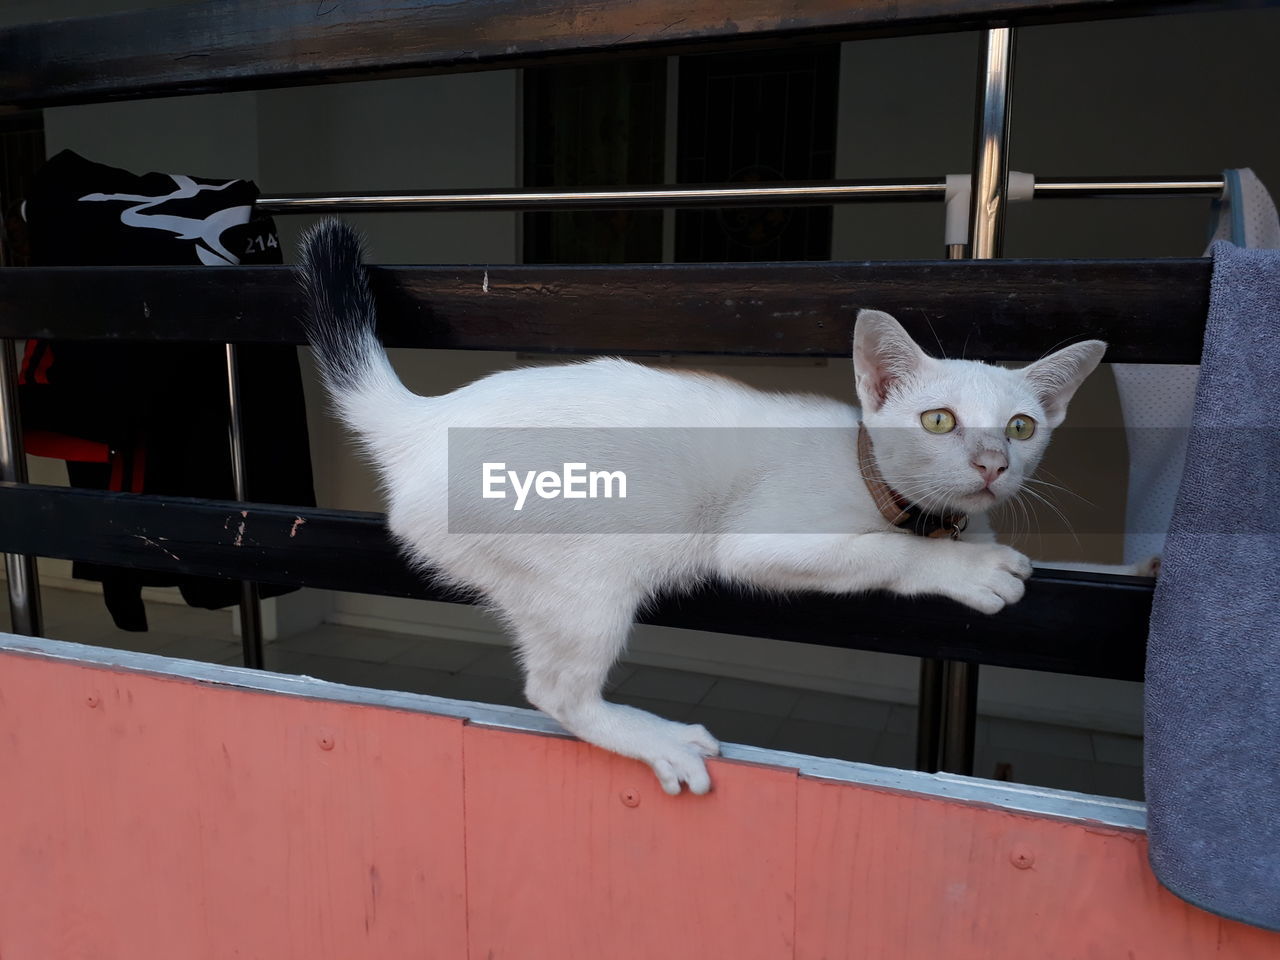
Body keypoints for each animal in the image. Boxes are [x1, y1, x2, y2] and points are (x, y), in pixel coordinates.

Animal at [299, 221, 1111, 798]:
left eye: (1021, 428)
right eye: (939, 421)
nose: (991, 464)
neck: (890, 489)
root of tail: (423, 422)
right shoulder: (762, 543)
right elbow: (888, 552)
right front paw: (969, 569)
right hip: (591, 575)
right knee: (555, 690)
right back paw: (655, 737)